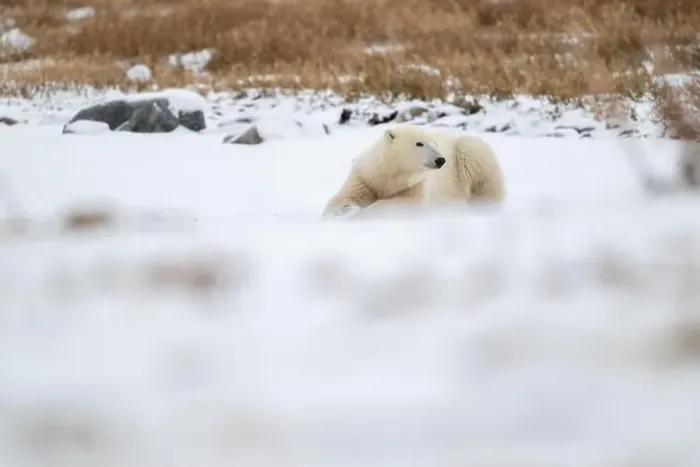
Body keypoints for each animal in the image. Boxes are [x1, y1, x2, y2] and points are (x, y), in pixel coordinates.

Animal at [321, 124, 505, 218]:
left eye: (435, 143)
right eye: (419, 143)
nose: (441, 160)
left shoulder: (416, 184)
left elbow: (405, 203)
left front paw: (358, 213)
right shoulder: (365, 177)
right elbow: (342, 197)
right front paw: (345, 209)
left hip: (468, 154)